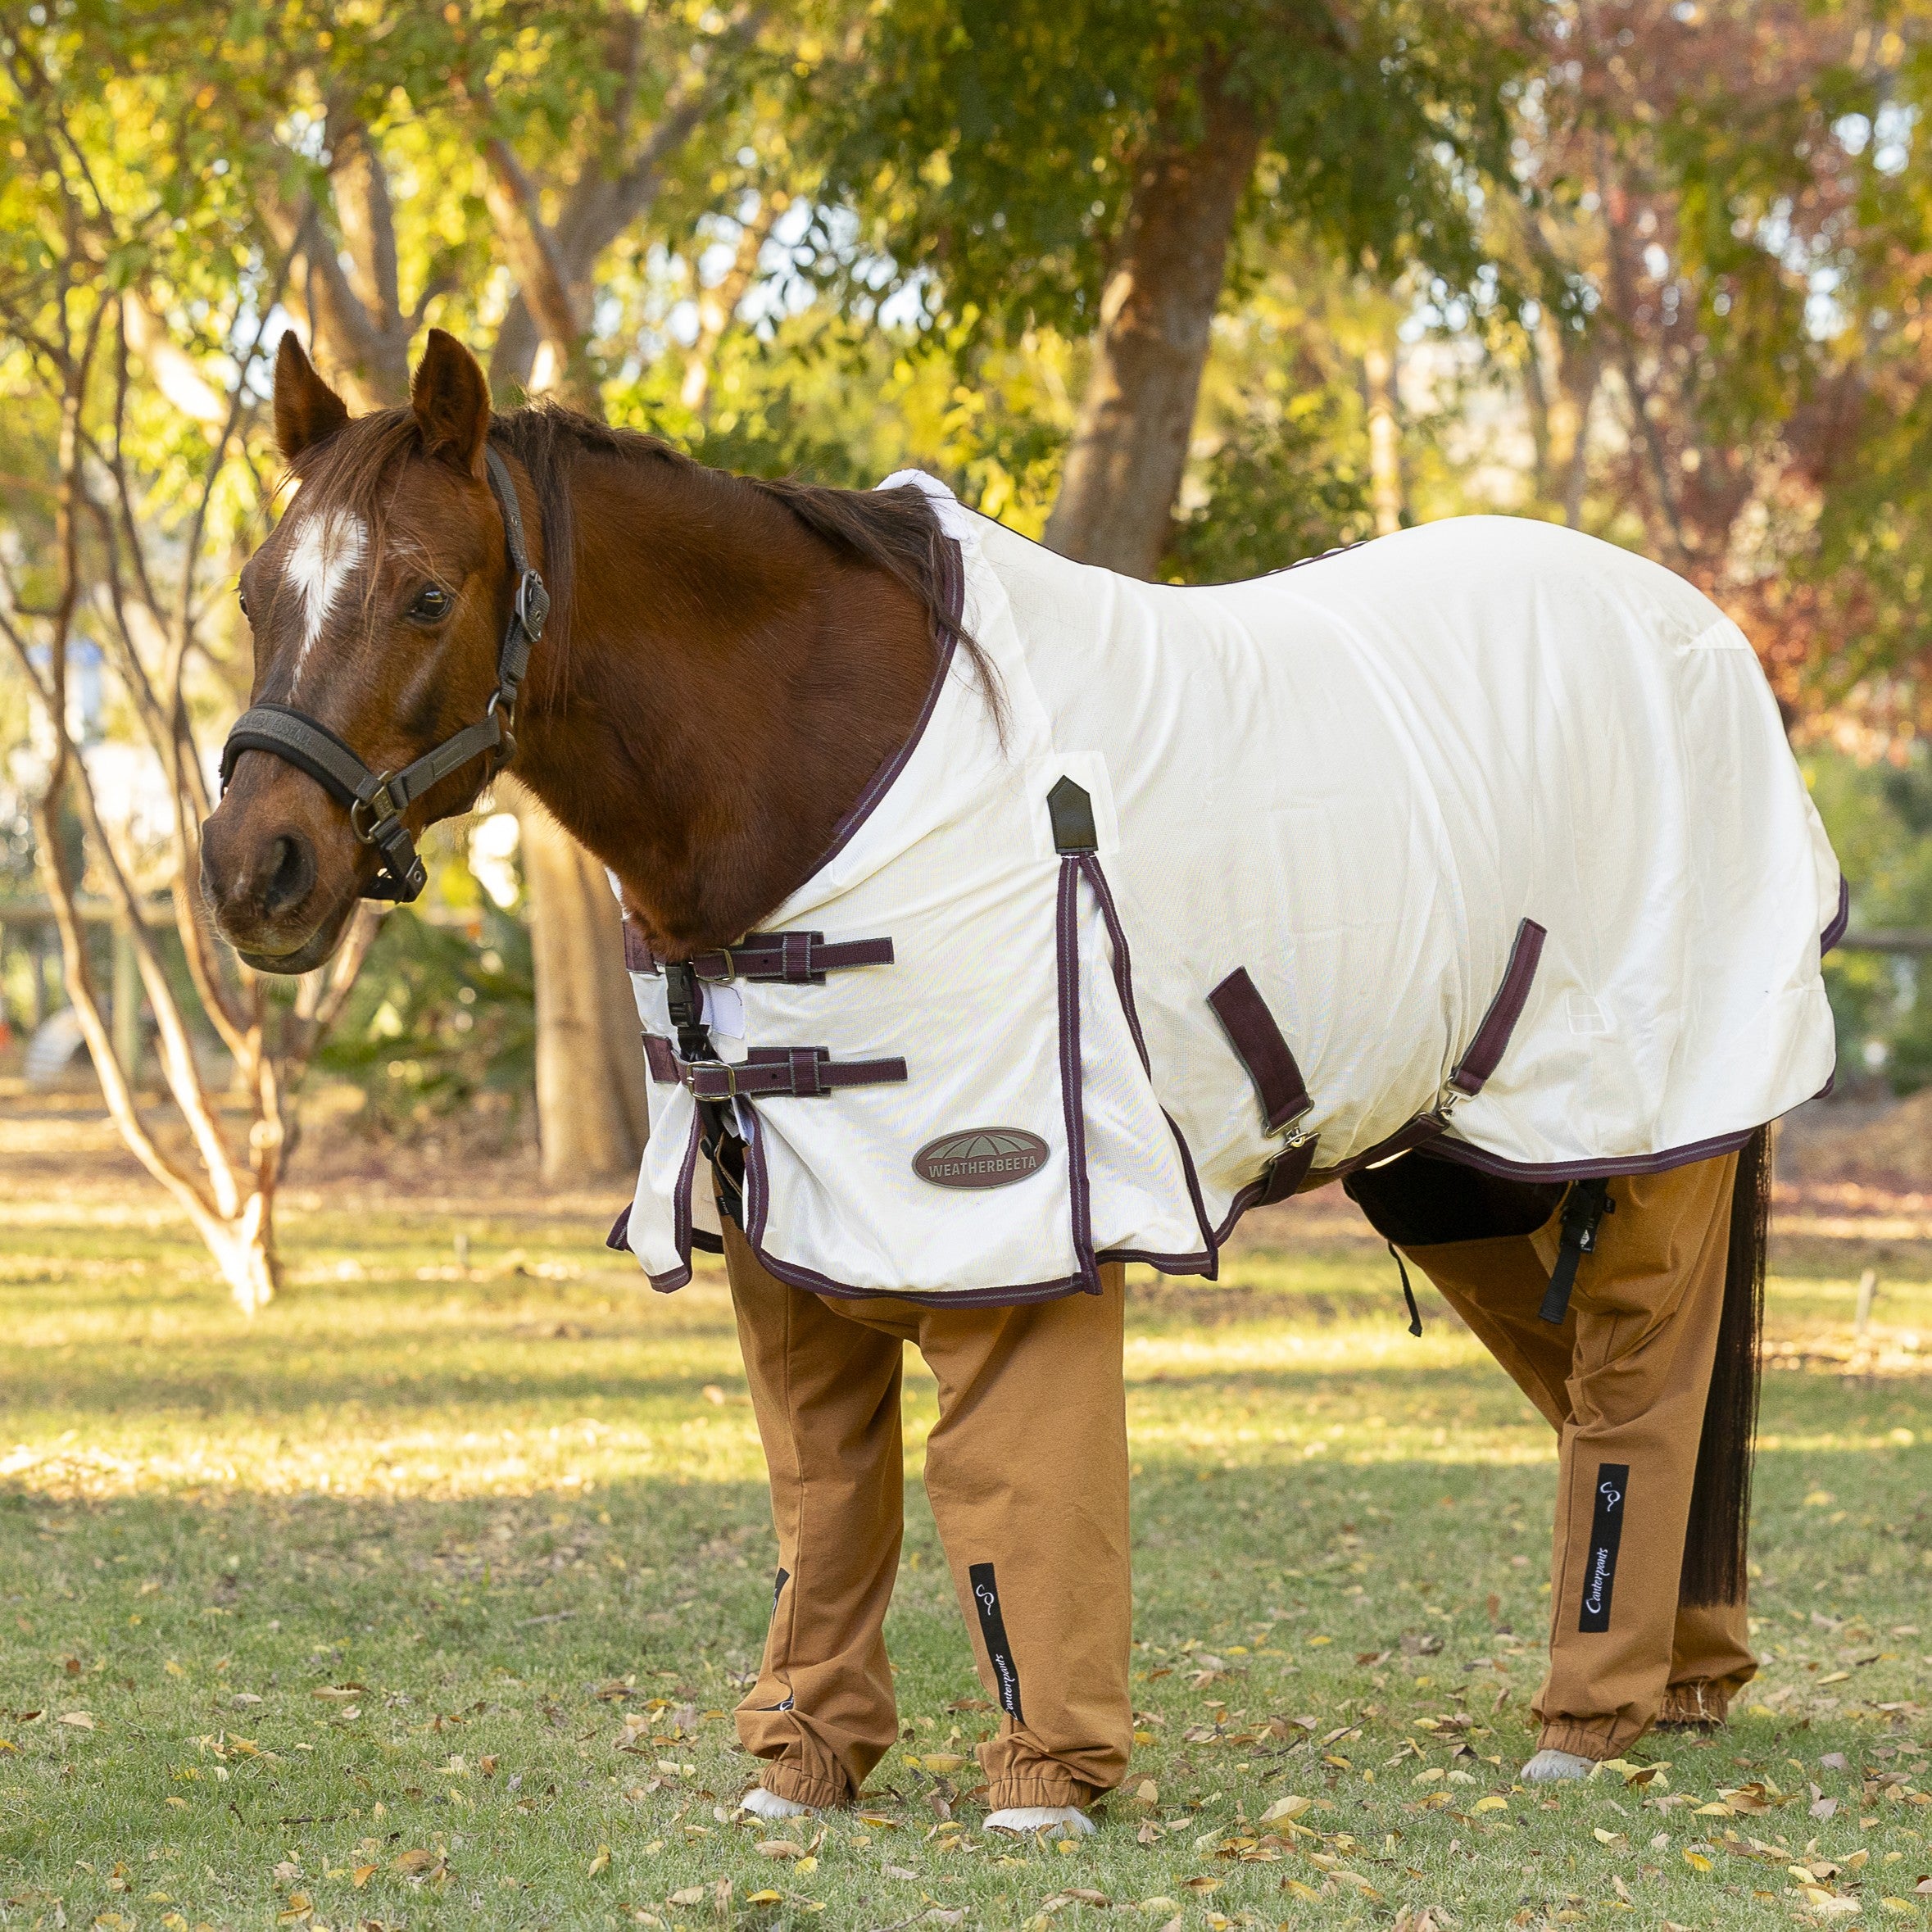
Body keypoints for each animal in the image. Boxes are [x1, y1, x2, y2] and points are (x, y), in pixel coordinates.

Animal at [203, 329, 1838, 1823]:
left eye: (426, 592)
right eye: (256, 591)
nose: (251, 870)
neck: (811, 758)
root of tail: (1694, 630)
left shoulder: (1010, 1215)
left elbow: (1015, 1486)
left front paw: (1047, 1781)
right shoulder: (787, 1231)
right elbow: (824, 1500)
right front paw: (801, 1766)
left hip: (1652, 1130)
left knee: (1636, 1383)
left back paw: (1590, 1714)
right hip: (1463, 1161)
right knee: (1588, 1371)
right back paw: (1685, 1680)